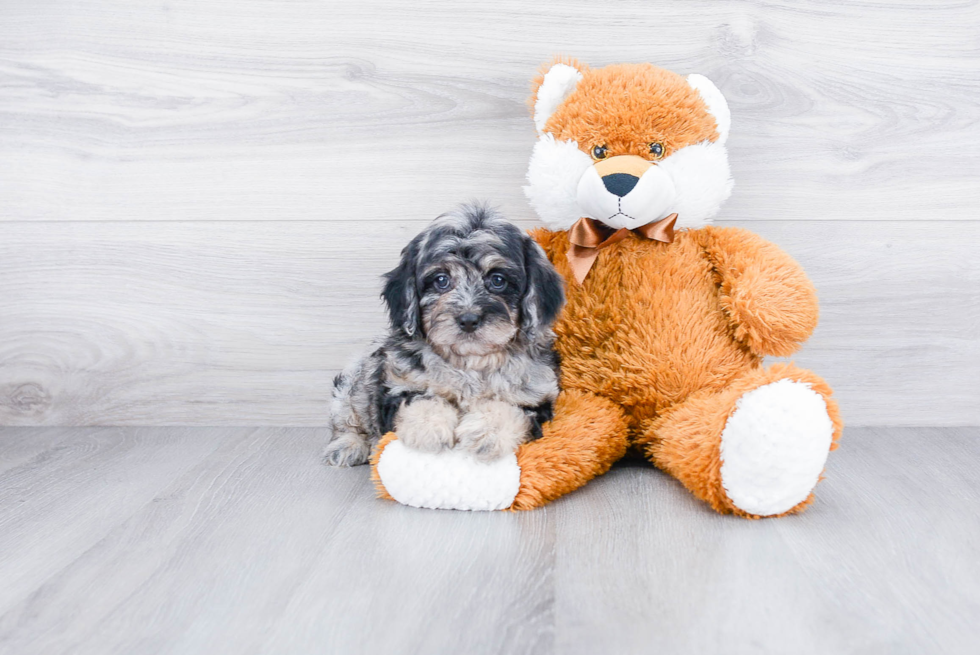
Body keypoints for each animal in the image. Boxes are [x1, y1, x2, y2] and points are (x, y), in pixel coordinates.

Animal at [324, 204, 564, 466]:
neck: (470, 362)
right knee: (347, 415)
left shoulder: (537, 396)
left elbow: (509, 407)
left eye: (498, 280)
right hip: (356, 378)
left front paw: (484, 433)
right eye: (441, 280)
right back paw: (348, 445)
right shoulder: (397, 386)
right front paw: (428, 431)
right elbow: (423, 400)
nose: (468, 320)